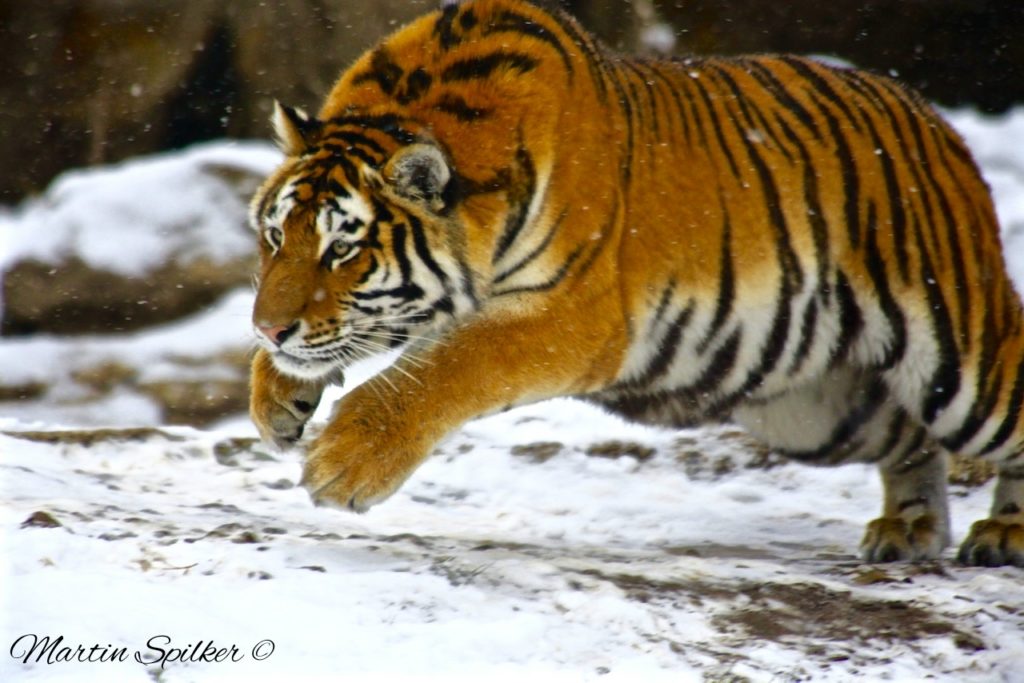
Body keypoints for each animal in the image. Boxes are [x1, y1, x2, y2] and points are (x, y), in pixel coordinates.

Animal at [247, 0, 1024, 565]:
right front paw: (276, 399)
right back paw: (910, 528)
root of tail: (937, 120)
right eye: (278, 237)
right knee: (909, 437)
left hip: (961, 362)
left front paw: (346, 463)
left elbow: (448, 366)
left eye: (342, 249)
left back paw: (1003, 535)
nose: (268, 327)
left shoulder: (577, 318)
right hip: (820, 409)